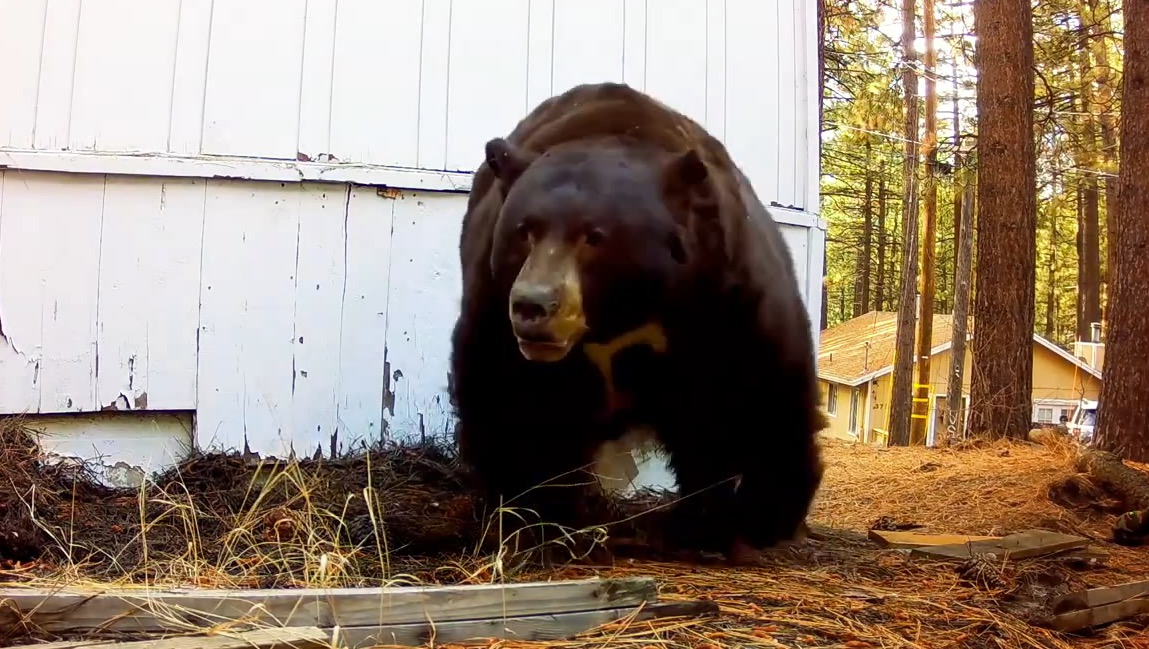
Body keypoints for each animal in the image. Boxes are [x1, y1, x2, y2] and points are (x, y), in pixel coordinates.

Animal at [448, 81, 824, 566]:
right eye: (523, 231)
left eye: (594, 237)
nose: (532, 305)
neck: (621, 314)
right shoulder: (494, 306)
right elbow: (505, 403)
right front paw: (528, 517)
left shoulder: (723, 299)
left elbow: (746, 401)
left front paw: (737, 526)